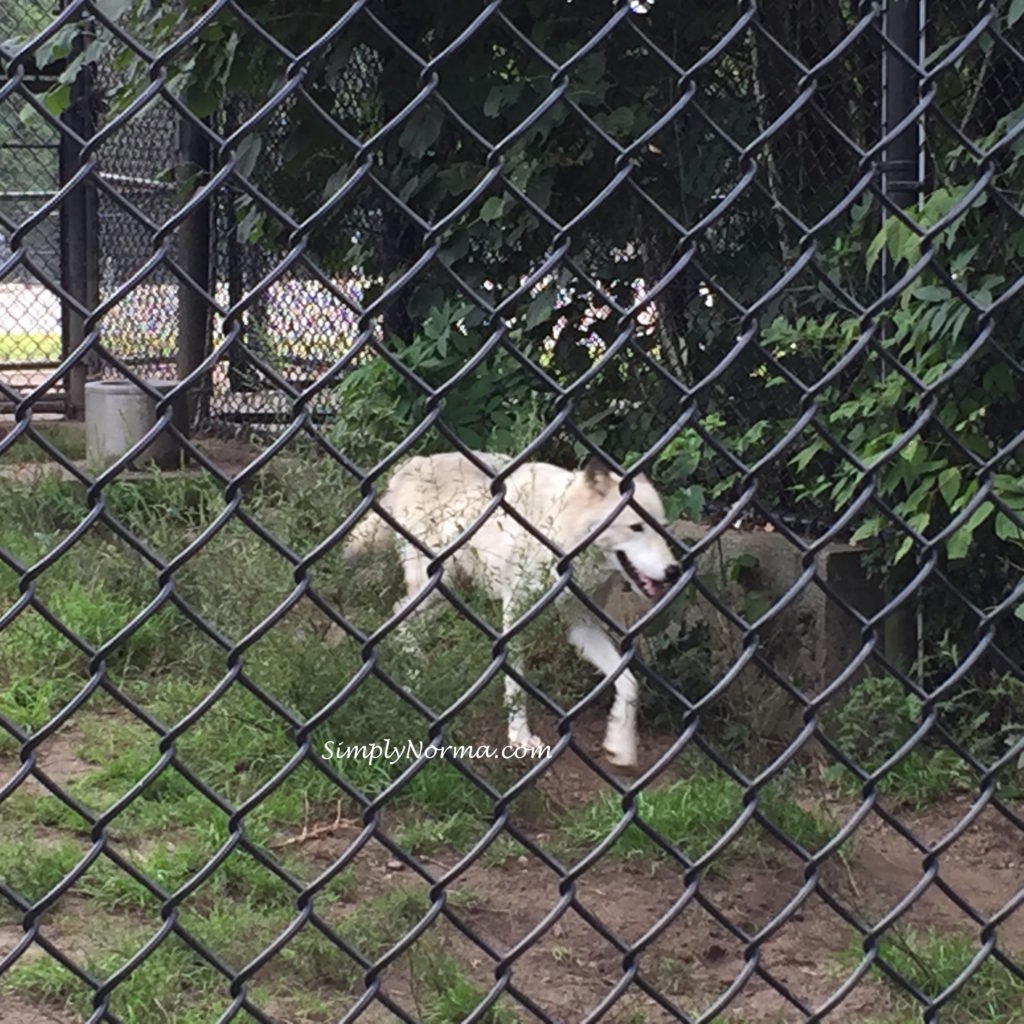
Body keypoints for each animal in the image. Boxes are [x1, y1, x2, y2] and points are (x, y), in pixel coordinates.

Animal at [346, 452, 679, 765]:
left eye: (661, 530)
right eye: (636, 527)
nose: (674, 571)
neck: (563, 535)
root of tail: (410, 463)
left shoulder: (581, 625)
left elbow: (629, 683)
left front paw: (620, 746)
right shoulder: (515, 612)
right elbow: (516, 683)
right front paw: (520, 737)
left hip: (447, 590)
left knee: (401, 616)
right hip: (439, 583)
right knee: (398, 614)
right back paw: (414, 675)